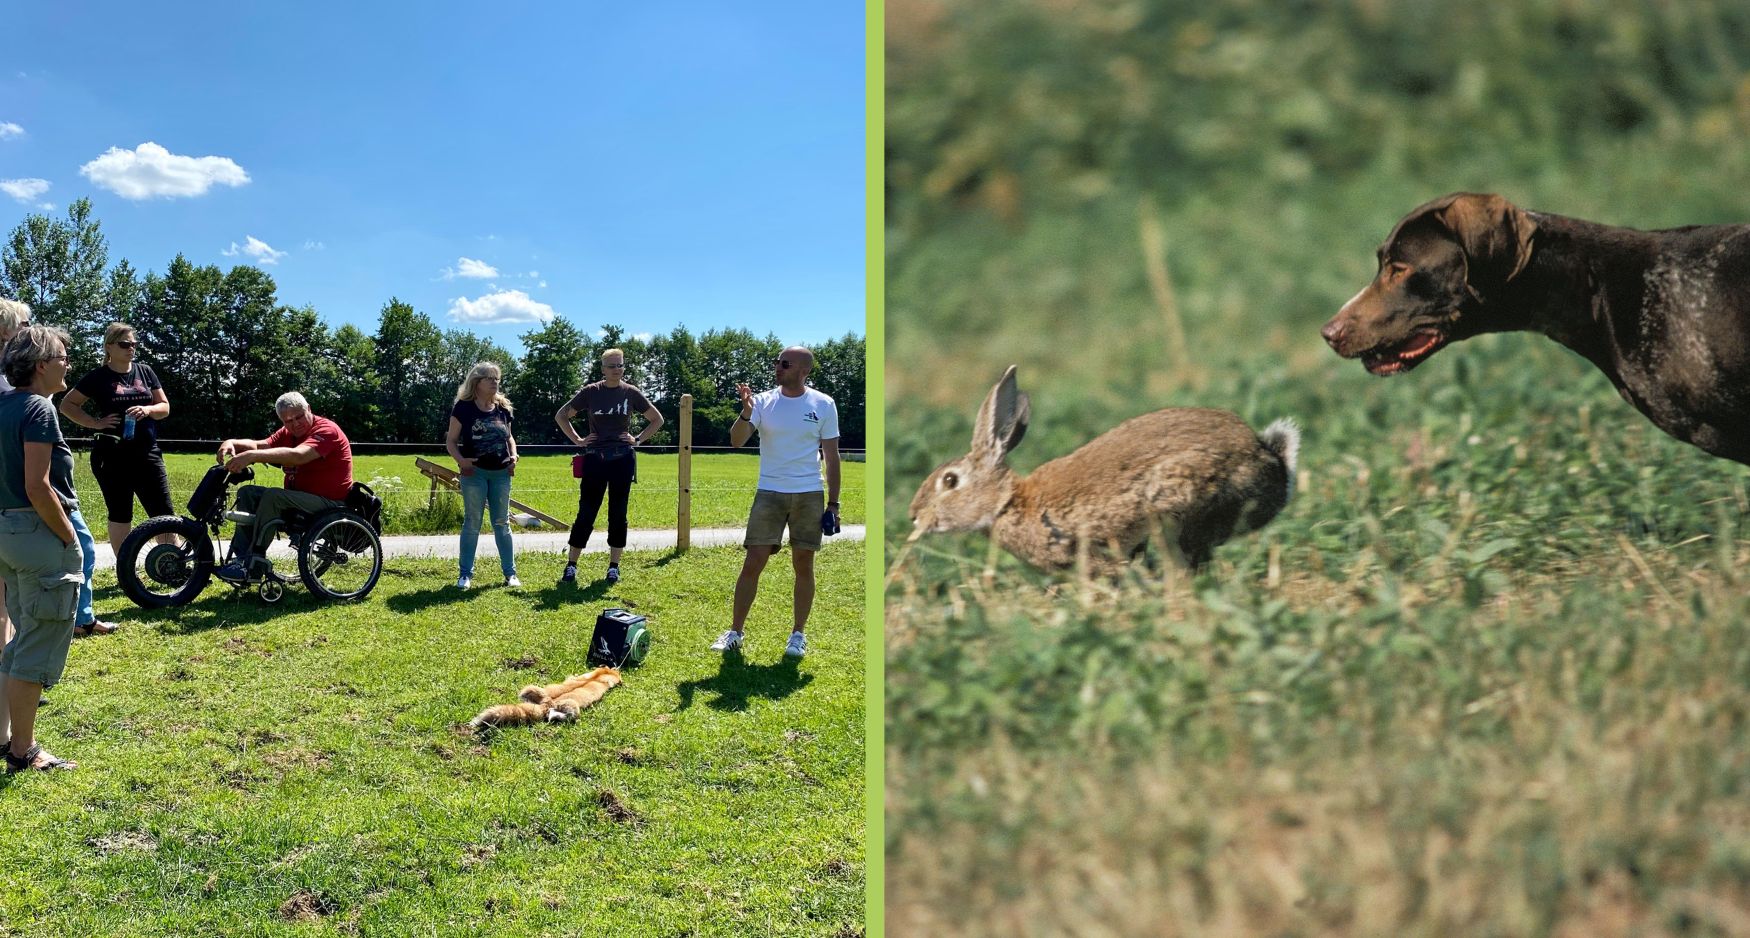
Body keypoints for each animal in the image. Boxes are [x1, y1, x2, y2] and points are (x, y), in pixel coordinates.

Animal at [469, 661, 626, 728]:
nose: (618, 669)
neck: (601, 675)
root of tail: (546, 703)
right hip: (572, 708)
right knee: (558, 716)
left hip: (530, 689)